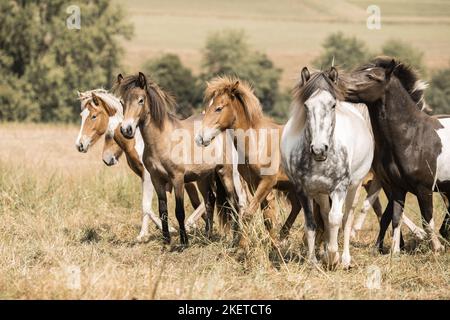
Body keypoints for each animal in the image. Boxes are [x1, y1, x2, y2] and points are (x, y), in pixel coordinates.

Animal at [75, 89, 206, 239]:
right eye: (82, 116)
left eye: (94, 116)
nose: (80, 145)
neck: (141, 141)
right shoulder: (147, 178)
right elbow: (146, 206)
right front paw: (145, 233)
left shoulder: (150, 176)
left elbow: (146, 206)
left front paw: (168, 230)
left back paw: (190, 224)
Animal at [284, 68, 374, 268]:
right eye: (306, 106)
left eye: (332, 105)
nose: (319, 149)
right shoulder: (304, 190)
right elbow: (311, 224)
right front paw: (314, 260)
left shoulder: (340, 188)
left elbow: (335, 220)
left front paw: (334, 257)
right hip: (321, 192)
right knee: (324, 215)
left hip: (354, 187)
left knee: (346, 218)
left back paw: (345, 259)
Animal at [344, 57, 450, 252]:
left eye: (371, 76)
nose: (336, 80)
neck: (413, 137)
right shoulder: (396, 187)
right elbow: (395, 217)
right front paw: (394, 251)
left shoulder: (424, 189)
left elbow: (426, 220)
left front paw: (437, 248)